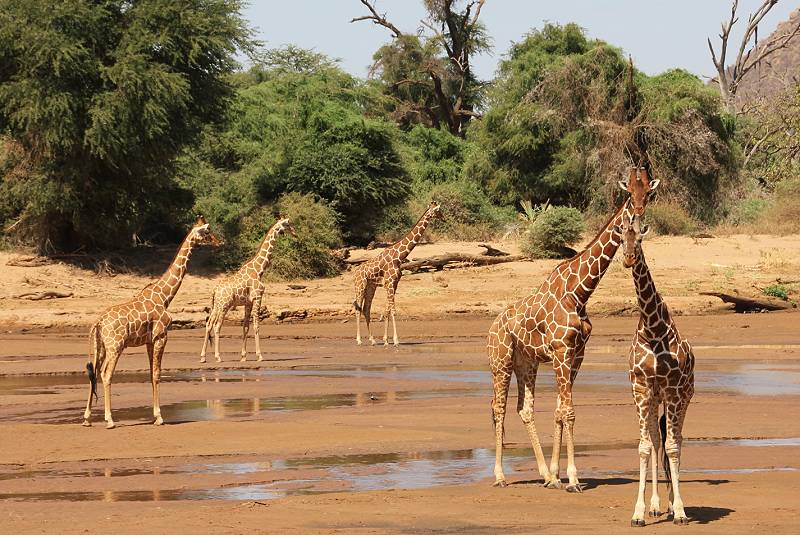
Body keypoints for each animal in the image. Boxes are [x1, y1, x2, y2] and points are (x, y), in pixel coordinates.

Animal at [83, 216, 220, 430]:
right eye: (207, 232)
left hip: (100, 347)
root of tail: (98, 322)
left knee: (94, 374)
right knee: (106, 374)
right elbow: (157, 374)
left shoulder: (149, 341)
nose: (218, 242)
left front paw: (155, 416)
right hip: (115, 346)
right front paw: (159, 417)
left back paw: (87, 418)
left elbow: (150, 374)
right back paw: (110, 420)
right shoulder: (161, 336)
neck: (165, 296)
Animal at [200, 218, 296, 364]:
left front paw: (243, 356)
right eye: (287, 224)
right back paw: (218, 356)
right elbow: (256, 325)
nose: (295, 233)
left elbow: (245, 327)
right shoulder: (258, 297)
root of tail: (215, 291)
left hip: (216, 306)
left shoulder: (248, 303)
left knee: (209, 324)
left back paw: (203, 357)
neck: (259, 269)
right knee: (217, 326)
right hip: (224, 306)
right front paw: (259, 356)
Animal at [354, 202, 444, 348]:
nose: (444, 218)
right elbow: (393, 310)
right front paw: (396, 340)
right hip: (360, 286)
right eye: (438, 211)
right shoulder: (390, 283)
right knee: (357, 308)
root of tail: (355, 272)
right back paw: (359, 340)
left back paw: (372, 340)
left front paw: (386, 340)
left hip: (370, 287)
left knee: (366, 309)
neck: (399, 256)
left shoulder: (394, 283)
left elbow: (387, 310)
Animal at [484, 169, 660, 494]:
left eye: (649, 192)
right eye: (630, 191)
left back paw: (543, 474)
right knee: (498, 407)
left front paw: (557, 475)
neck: (579, 293)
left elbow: (559, 411)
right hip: (499, 361)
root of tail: (492, 326)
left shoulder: (577, 354)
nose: (639, 212)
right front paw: (574, 479)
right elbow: (569, 411)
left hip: (525, 363)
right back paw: (500, 476)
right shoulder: (561, 352)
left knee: (525, 409)